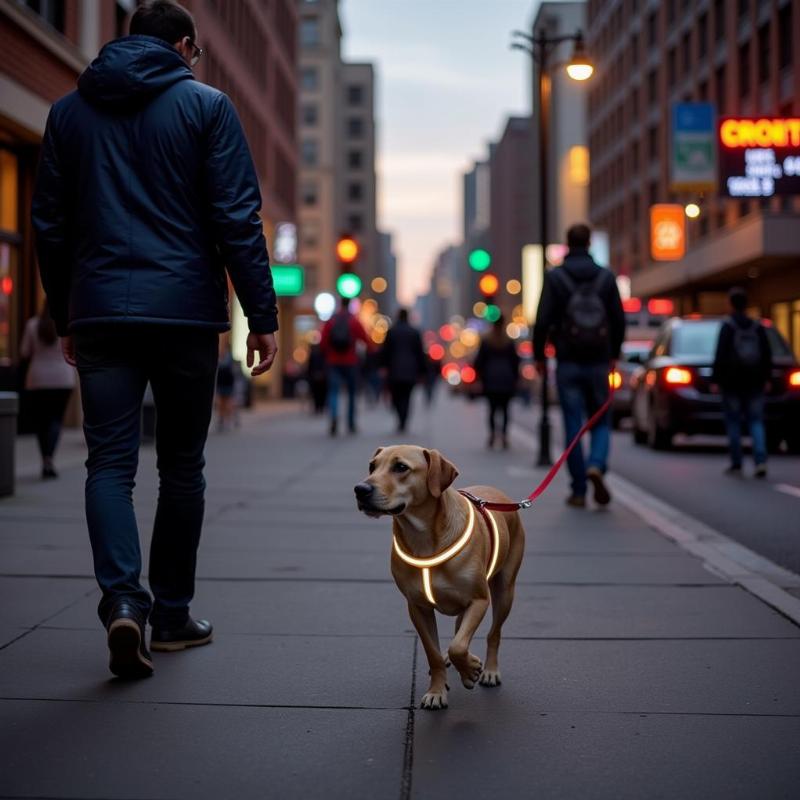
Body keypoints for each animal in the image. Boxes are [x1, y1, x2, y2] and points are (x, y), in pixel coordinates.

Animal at [356, 446, 524, 708]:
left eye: (401, 467)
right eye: (372, 466)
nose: (360, 489)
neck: (423, 538)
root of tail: (500, 495)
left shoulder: (479, 600)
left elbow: (459, 646)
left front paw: (470, 670)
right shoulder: (418, 607)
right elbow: (434, 652)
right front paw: (437, 690)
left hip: (504, 591)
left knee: (493, 632)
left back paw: (489, 670)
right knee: (459, 629)